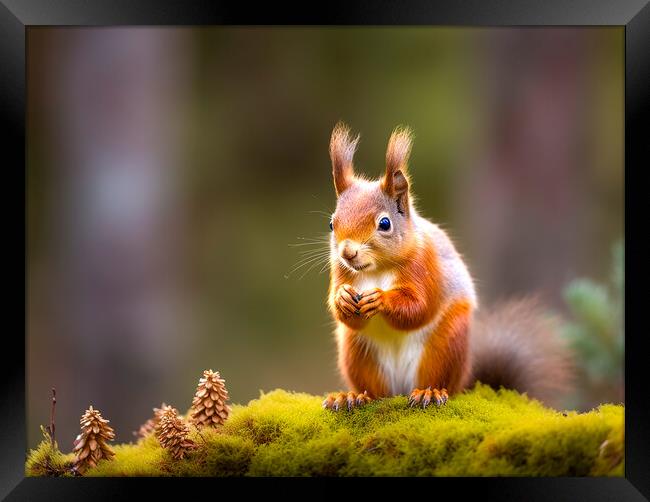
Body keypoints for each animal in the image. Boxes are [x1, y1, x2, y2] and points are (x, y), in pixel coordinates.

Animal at [322, 122, 568, 412]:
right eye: (331, 224)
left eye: (384, 223)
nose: (347, 252)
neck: (376, 270)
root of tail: (401, 388)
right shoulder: (340, 271)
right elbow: (345, 313)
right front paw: (342, 298)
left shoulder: (425, 266)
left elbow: (419, 308)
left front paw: (381, 298)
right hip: (357, 351)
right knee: (375, 391)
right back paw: (355, 396)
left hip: (445, 344)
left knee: (438, 379)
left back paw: (429, 393)